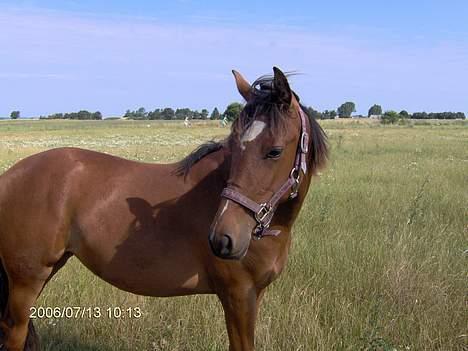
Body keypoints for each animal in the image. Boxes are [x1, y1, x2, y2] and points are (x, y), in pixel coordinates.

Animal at [0, 67, 328, 350]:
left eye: (274, 151)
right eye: (234, 147)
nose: (222, 238)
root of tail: (9, 176)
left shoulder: (252, 296)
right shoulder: (238, 295)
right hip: (27, 279)